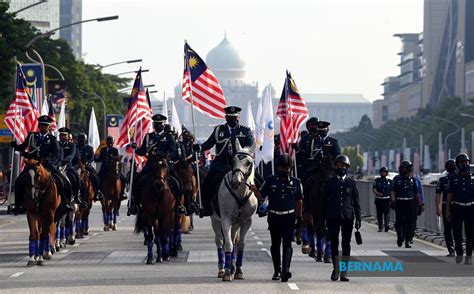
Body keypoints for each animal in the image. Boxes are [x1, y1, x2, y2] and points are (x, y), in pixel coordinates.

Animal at [213, 141, 258, 282]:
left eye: (248, 162)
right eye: (232, 161)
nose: (235, 182)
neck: (240, 193)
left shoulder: (246, 221)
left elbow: (240, 244)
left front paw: (238, 270)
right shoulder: (225, 220)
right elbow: (228, 244)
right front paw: (227, 273)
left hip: (236, 223)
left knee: (234, 239)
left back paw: (232, 266)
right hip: (215, 220)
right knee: (220, 240)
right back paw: (222, 269)